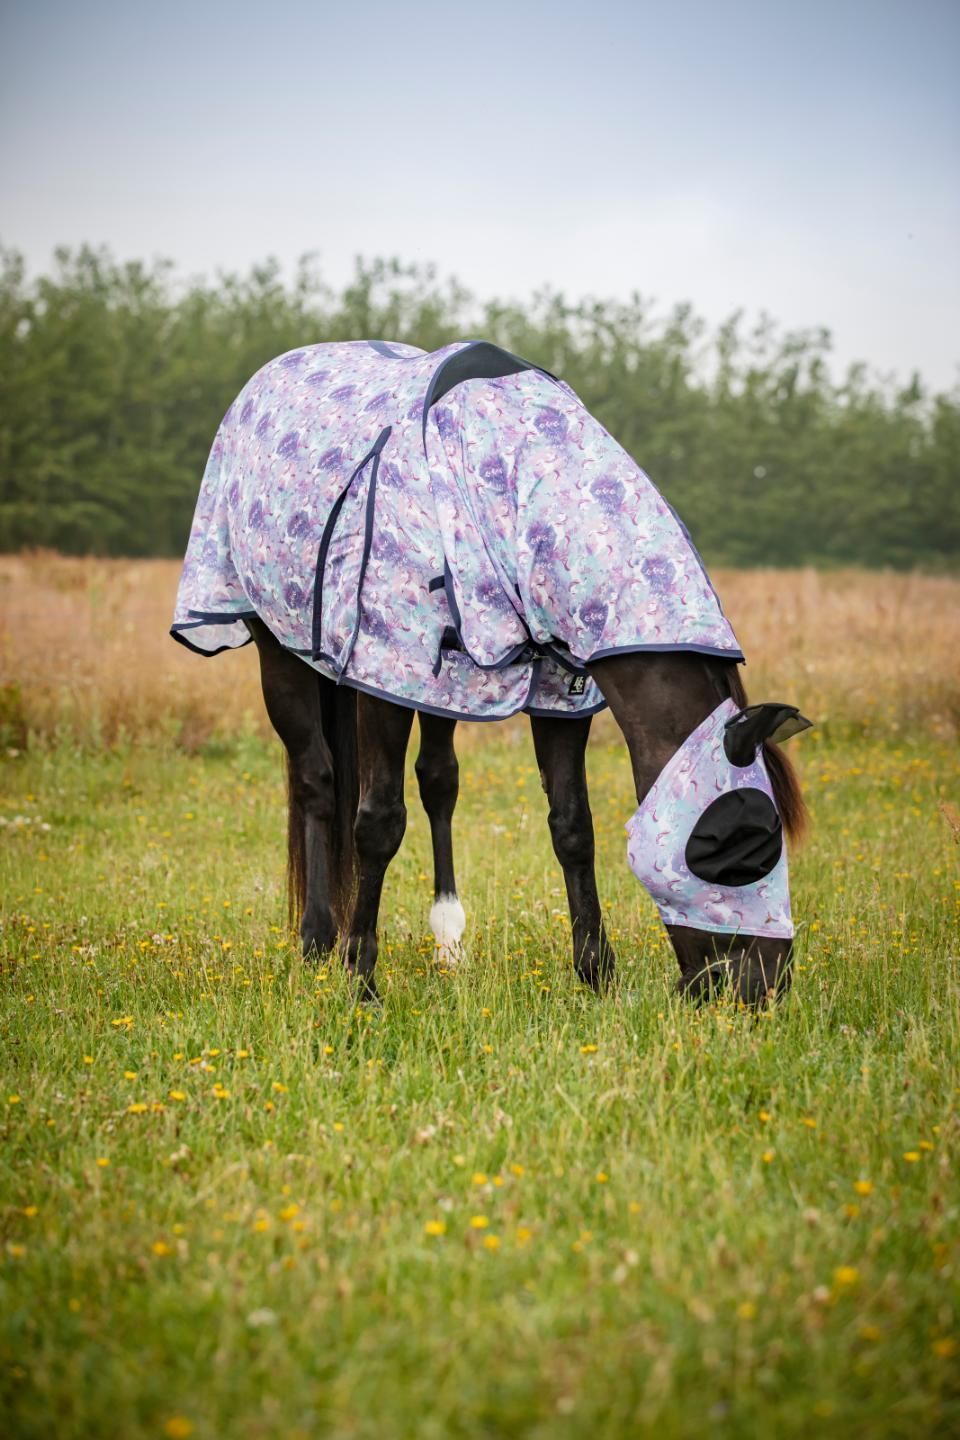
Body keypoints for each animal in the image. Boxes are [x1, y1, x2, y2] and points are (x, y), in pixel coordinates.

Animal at [172, 339, 809, 1004]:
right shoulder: (386, 675)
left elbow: (572, 825)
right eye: (741, 840)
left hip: (445, 688)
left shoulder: (561, 691)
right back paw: (317, 941)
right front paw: (360, 978)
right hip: (282, 648)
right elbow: (377, 821)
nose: (763, 988)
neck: (512, 483)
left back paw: (448, 939)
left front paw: (596, 973)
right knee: (316, 780)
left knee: (438, 780)